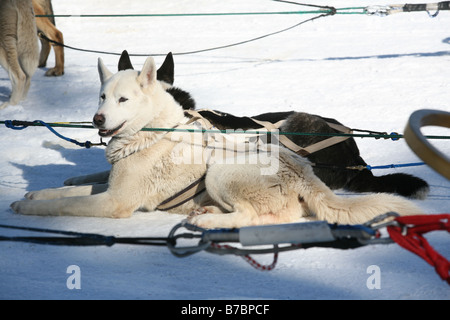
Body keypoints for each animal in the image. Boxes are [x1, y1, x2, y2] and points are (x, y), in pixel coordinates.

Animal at [11, 57, 426, 228]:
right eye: (101, 97)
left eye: (123, 100)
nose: (98, 120)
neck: (151, 134)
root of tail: (303, 171)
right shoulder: (110, 186)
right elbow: (65, 192)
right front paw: (37, 192)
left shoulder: (114, 202)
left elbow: (63, 205)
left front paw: (26, 208)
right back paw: (210, 213)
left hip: (220, 172)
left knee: (255, 217)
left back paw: (210, 222)